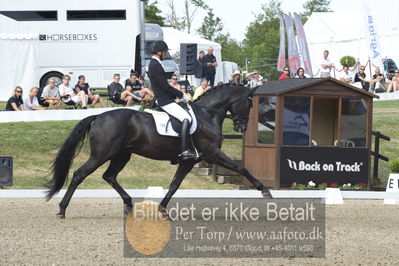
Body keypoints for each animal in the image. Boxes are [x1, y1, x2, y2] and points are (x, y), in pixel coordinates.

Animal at [46, 84, 272, 218]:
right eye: (249, 103)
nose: (241, 127)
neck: (207, 114)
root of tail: (99, 116)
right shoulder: (212, 153)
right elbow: (241, 168)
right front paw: (264, 190)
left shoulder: (188, 161)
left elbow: (174, 185)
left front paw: (163, 210)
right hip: (102, 154)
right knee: (79, 174)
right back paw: (62, 210)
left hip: (122, 155)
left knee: (109, 176)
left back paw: (129, 205)